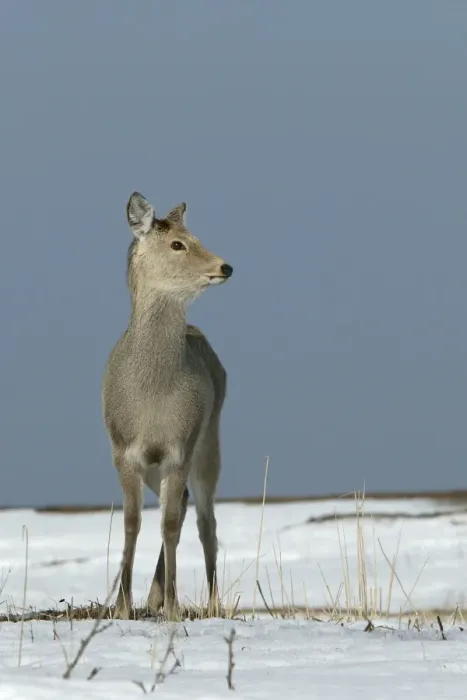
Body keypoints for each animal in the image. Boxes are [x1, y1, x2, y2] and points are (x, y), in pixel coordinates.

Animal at [102, 192, 233, 621]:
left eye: (195, 236)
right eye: (178, 244)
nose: (224, 266)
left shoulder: (180, 447)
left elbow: (171, 526)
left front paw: (174, 608)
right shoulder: (123, 450)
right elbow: (131, 523)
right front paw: (122, 606)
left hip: (210, 442)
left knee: (206, 520)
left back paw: (211, 603)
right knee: (186, 506)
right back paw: (153, 596)